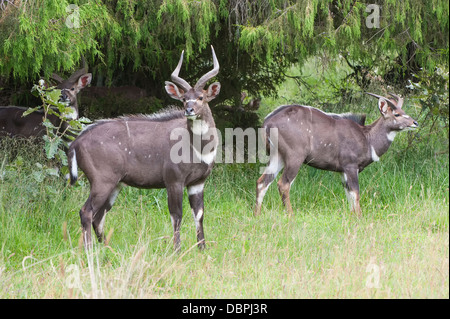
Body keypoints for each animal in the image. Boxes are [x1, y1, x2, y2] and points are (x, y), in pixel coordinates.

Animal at [67, 46, 221, 252]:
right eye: (184, 98)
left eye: (201, 97)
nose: (189, 110)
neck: (198, 148)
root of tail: (75, 143)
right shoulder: (174, 180)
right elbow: (176, 215)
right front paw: (177, 250)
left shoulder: (198, 183)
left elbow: (199, 214)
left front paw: (202, 249)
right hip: (102, 181)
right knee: (86, 211)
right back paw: (90, 250)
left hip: (116, 184)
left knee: (98, 216)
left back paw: (108, 249)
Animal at [255, 92, 420, 218]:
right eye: (397, 114)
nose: (415, 123)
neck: (367, 138)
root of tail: (267, 123)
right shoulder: (351, 166)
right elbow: (356, 193)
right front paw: (360, 218)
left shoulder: (342, 171)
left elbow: (349, 194)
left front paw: (353, 216)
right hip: (294, 157)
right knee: (283, 184)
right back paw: (291, 215)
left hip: (278, 157)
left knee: (262, 182)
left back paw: (257, 214)